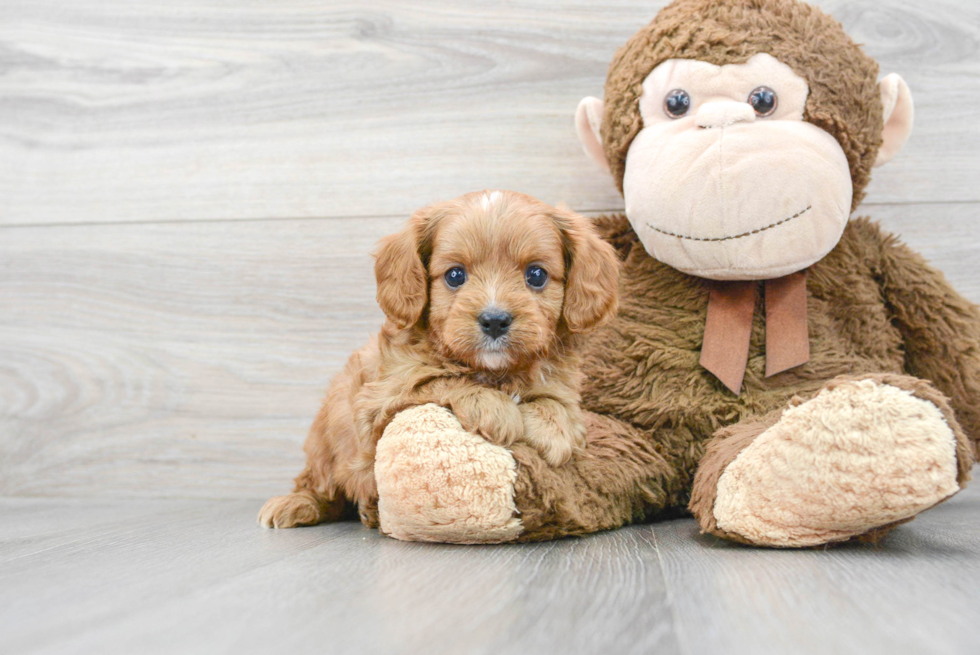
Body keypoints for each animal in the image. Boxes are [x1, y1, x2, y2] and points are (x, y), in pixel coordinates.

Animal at [260, 188, 620, 528]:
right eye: (455, 275)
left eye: (536, 275)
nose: (494, 320)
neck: (495, 372)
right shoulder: (380, 400)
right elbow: (439, 380)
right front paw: (493, 407)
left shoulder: (560, 382)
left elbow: (558, 402)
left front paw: (553, 430)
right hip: (325, 441)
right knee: (320, 485)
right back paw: (297, 504)